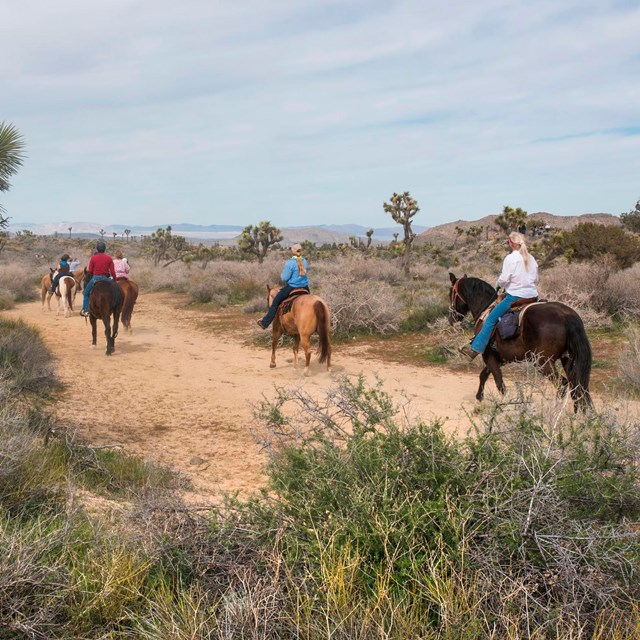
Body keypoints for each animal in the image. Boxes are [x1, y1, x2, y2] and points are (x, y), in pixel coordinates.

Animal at [448, 272, 592, 412]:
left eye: (450, 294)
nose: (451, 319)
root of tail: (566, 316)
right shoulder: (501, 358)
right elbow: (484, 374)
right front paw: (479, 398)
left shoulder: (488, 355)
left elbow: (499, 382)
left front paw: (504, 405)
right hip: (568, 360)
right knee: (577, 387)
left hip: (543, 362)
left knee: (562, 385)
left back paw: (555, 411)